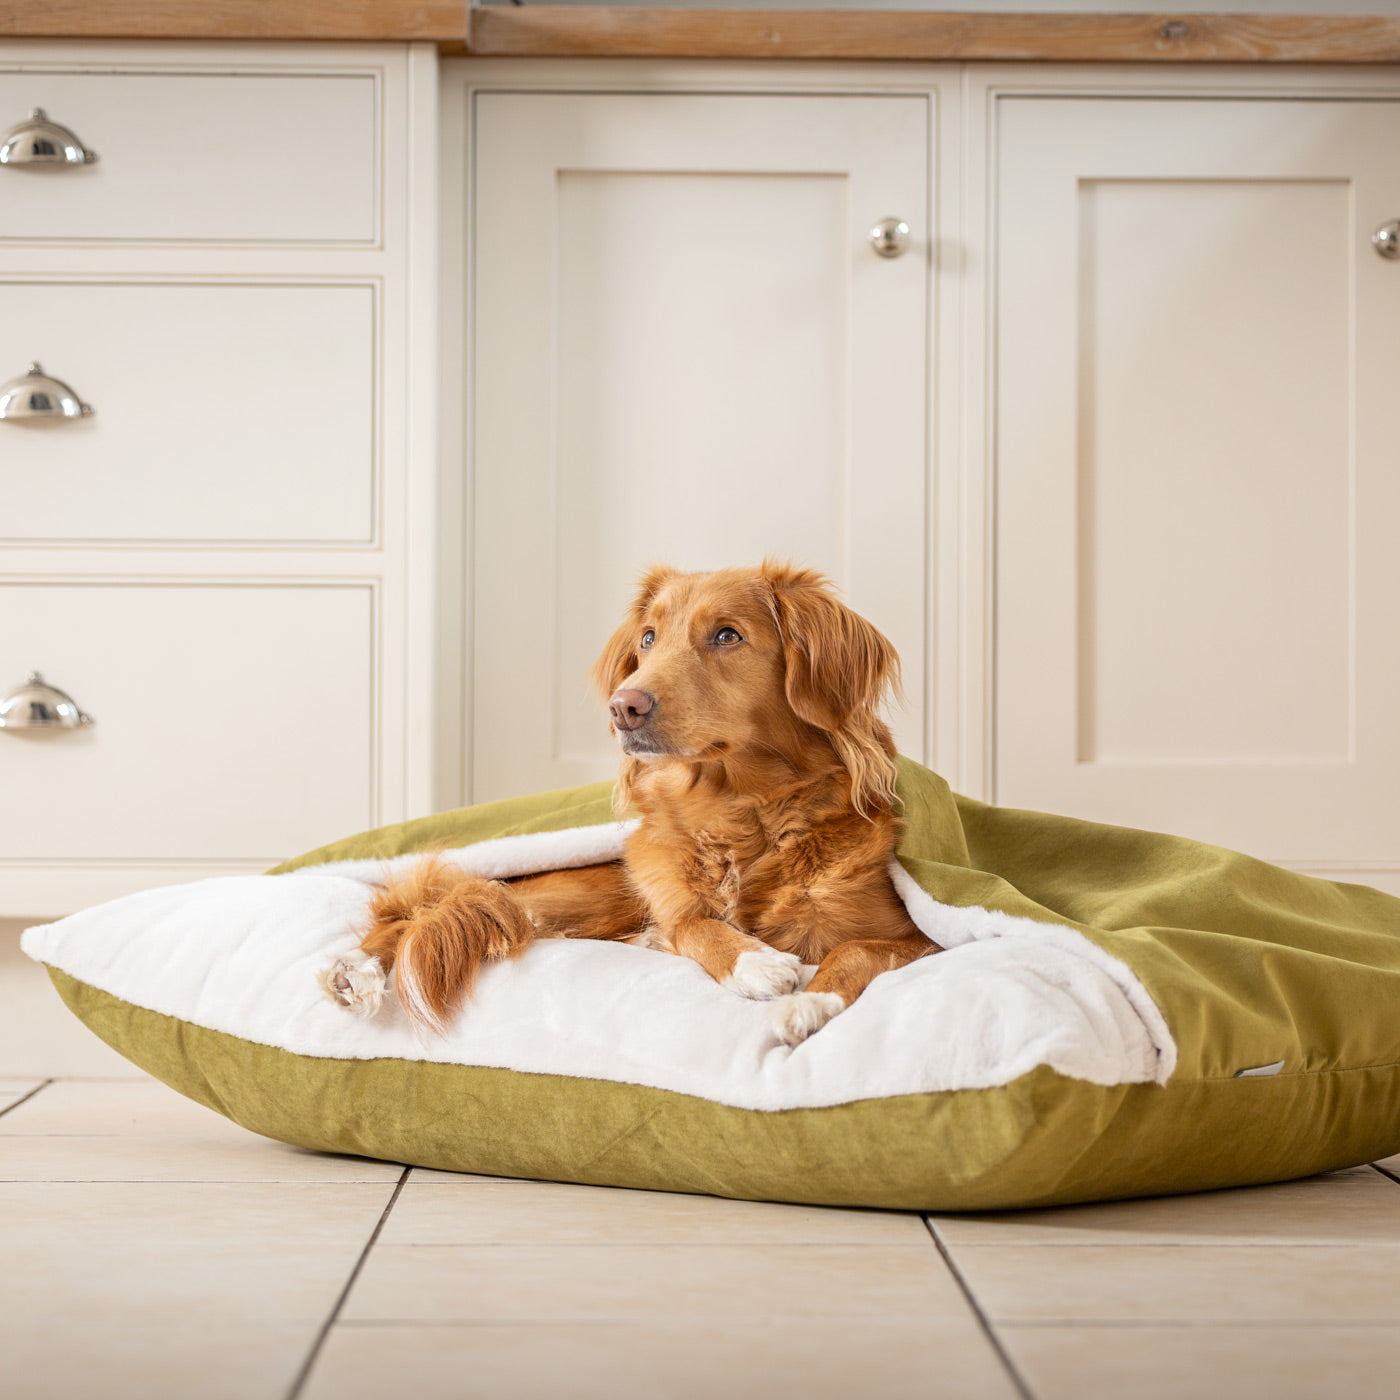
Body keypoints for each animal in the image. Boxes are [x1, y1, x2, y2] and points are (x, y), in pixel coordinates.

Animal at [324, 562, 940, 1047]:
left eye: (727, 635)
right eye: (647, 639)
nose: (624, 707)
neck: (740, 813)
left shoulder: (922, 939)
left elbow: (854, 949)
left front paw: (809, 1003)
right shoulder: (671, 893)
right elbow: (692, 922)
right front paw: (754, 961)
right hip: (576, 892)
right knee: (420, 910)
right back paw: (355, 969)